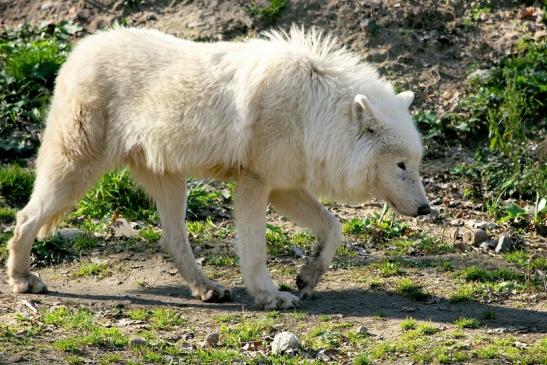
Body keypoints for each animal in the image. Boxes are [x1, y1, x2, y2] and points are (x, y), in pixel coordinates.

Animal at [5, 27, 432, 308]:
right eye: (400, 165)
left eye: (416, 163)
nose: (427, 208)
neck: (313, 111)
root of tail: (80, 49)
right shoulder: (255, 183)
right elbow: (255, 250)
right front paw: (270, 296)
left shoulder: (284, 187)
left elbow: (334, 227)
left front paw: (308, 276)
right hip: (77, 171)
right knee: (25, 217)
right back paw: (22, 279)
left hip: (171, 183)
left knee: (173, 240)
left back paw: (207, 289)